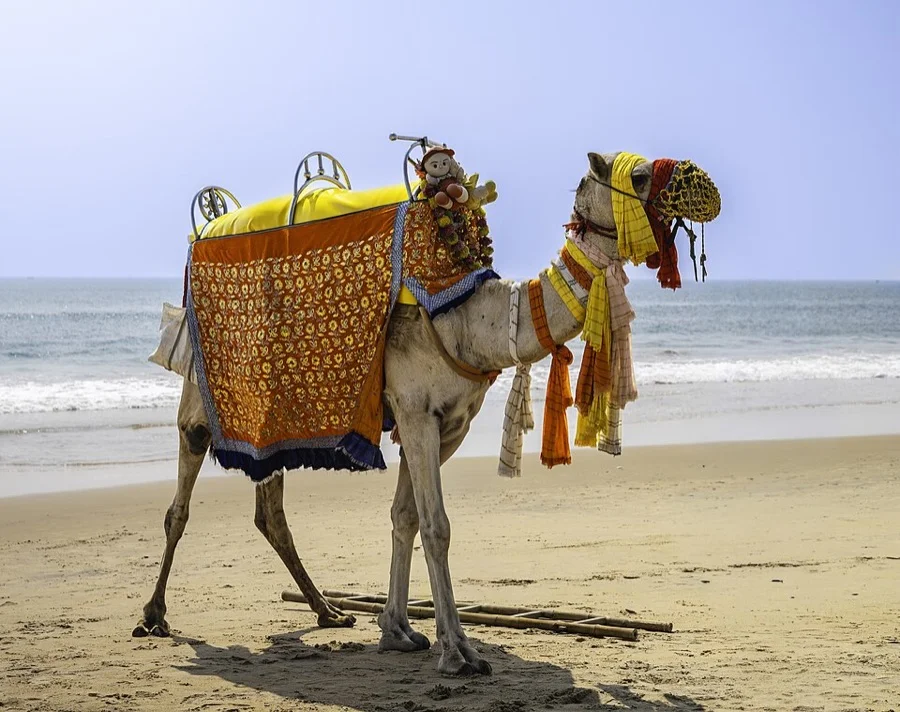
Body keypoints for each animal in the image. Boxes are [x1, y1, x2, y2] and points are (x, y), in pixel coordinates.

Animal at [133, 151, 665, 676]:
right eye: (638, 176)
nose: (683, 181)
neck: (466, 315)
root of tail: (207, 226)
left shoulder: (447, 423)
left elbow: (406, 516)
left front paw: (398, 630)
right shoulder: (415, 412)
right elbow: (436, 525)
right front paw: (457, 652)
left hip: (272, 418)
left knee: (271, 511)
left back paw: (329, 611)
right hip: (201, 400)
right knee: (182, 496)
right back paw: (153, 616)